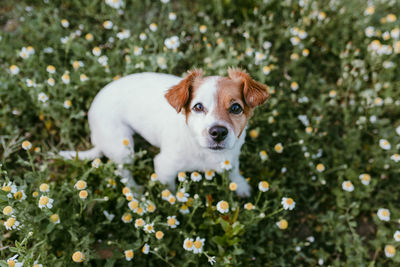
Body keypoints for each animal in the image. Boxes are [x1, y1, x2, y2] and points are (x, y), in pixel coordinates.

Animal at [59, 68, 270, 196]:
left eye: (235, 108)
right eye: (198, 107)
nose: (218, 132)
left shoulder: (231, 157)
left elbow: (234, 171)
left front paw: (240, 185)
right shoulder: (164, 167)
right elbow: (171, 191)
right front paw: (175, 204)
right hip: (122, 145)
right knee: (123, 171)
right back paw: (135, 192)